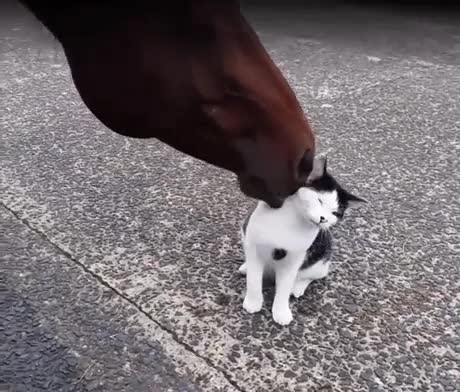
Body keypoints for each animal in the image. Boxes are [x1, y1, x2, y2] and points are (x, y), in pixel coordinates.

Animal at [239, 156, 364, 324]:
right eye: (319, 200)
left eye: (335, 213)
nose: (323, 219)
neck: (291, 220)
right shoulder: (254, 247)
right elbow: (253, 280)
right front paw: (253, 302)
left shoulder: (294, 258)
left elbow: (284, 287)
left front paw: (281, 311)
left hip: (321, 260)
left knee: (311, 276)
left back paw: (297, 287)